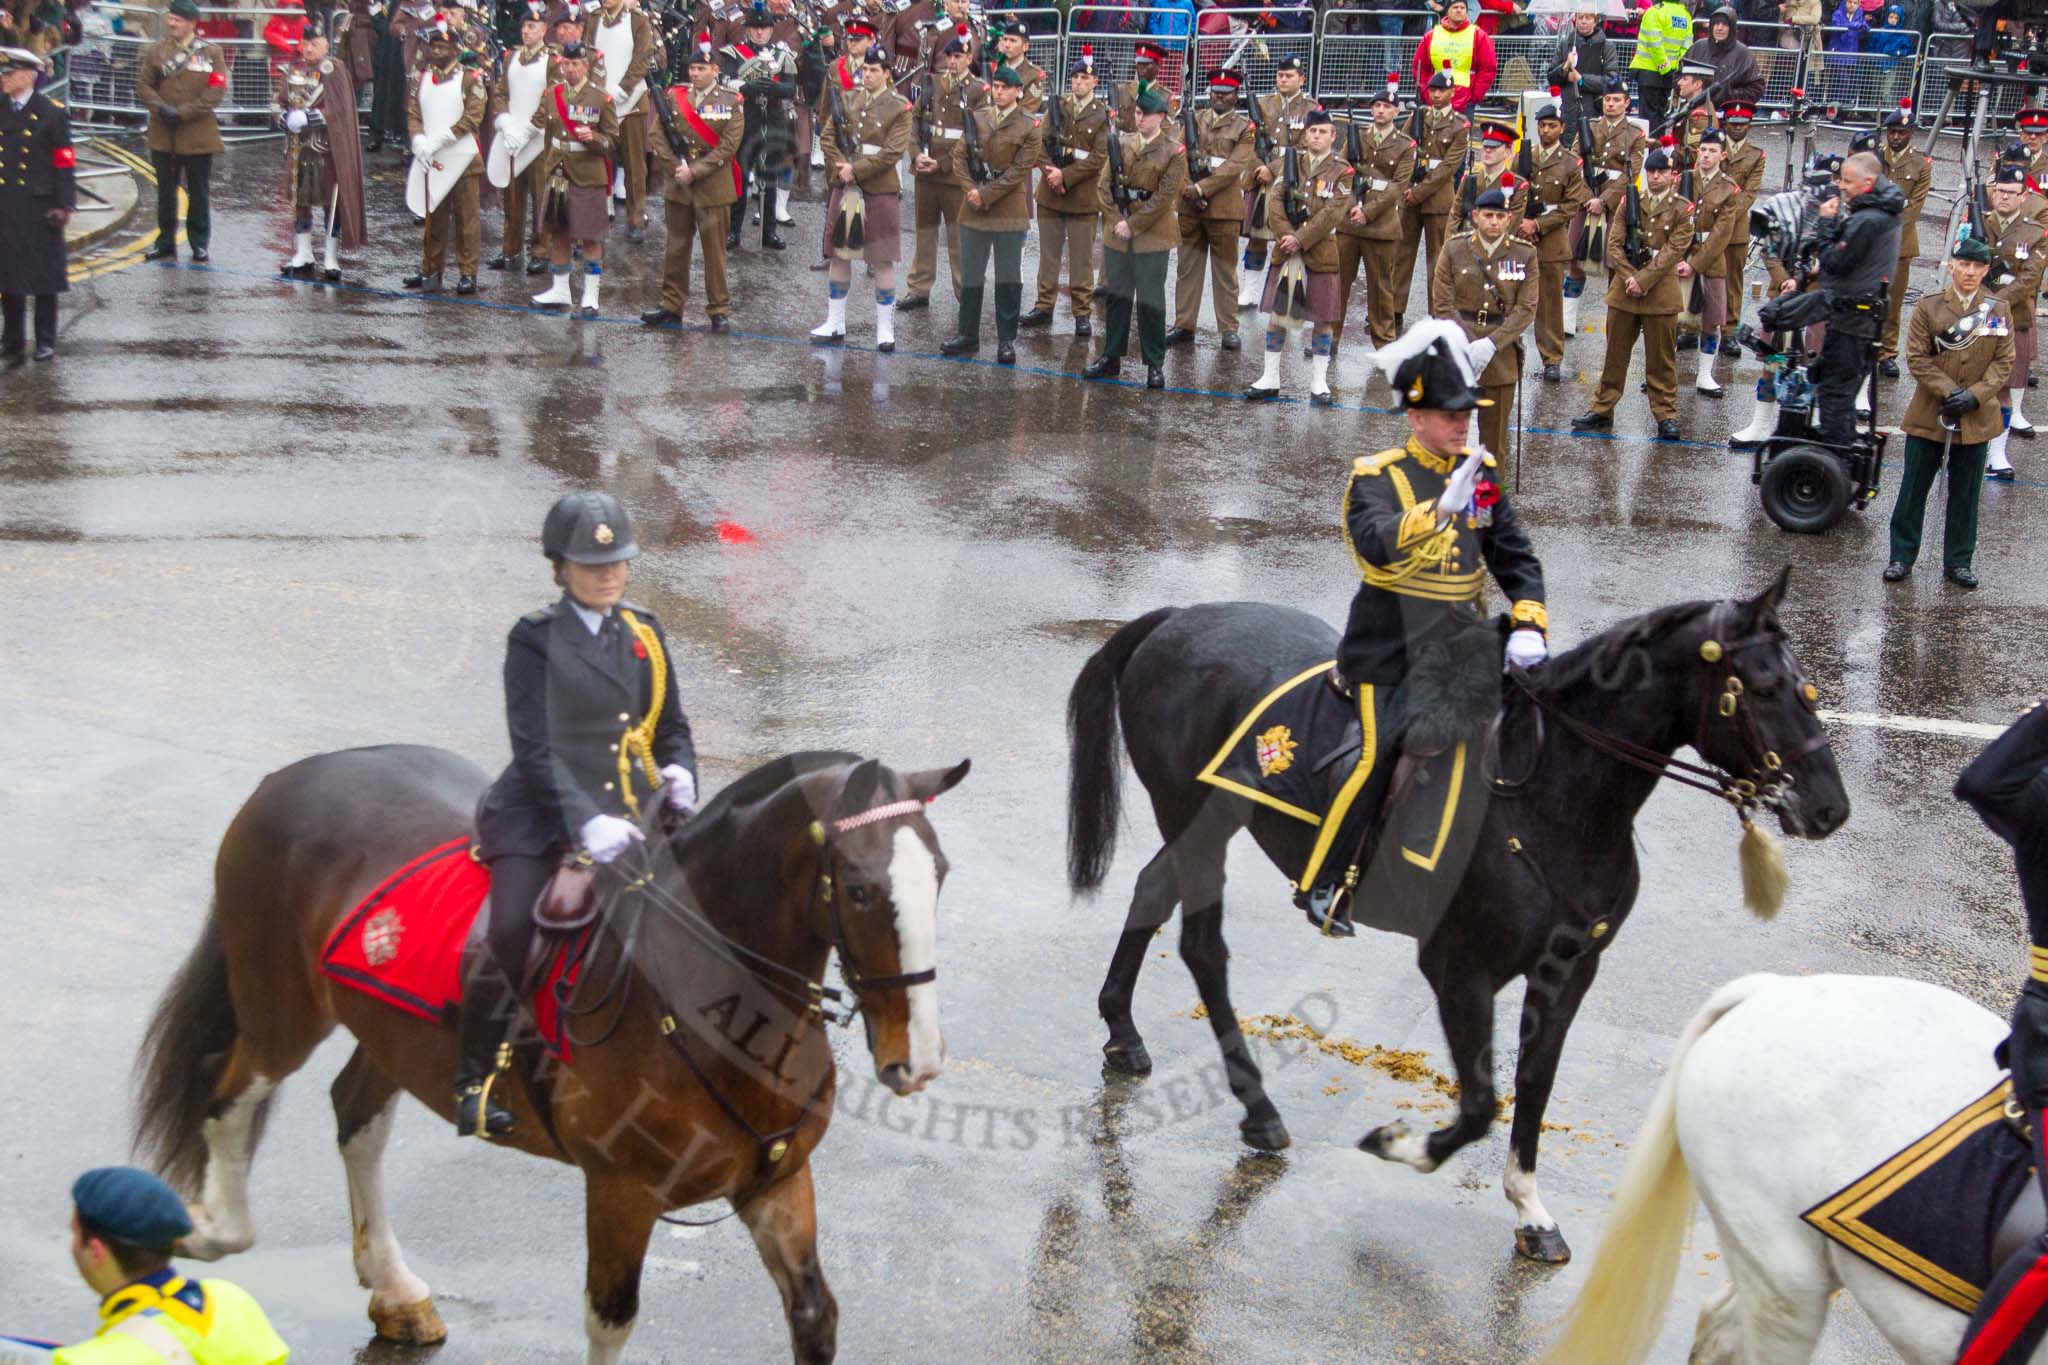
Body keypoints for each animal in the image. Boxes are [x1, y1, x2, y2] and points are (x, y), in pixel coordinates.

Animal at [132, 749, 970, 1365]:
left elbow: (814, 1315)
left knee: (356, 1116)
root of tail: (290, 776)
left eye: (941, 873)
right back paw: (207, 1230)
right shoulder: (621, 1192)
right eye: (858, 889)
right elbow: (610, 1322)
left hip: (389, 1033)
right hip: (282, 1010)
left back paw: (394, 1288)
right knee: (228, 1095)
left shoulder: (779, 1181)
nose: (919, 1059)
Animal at [1064, 573, 1851, 1268]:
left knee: (1151, 892)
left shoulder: (1568, 971)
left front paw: (1531, 1210)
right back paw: (1256, 1105)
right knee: (1202, 944)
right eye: (1763, 687)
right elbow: (1479, 1103)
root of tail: (1176, 617)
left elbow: (1534, 1087)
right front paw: (1403, 1146)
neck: (1553, 800)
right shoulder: (1459, 969)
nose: (1829, 808)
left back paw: (1123, 1030)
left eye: (1808, 687)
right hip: (1198, 818)